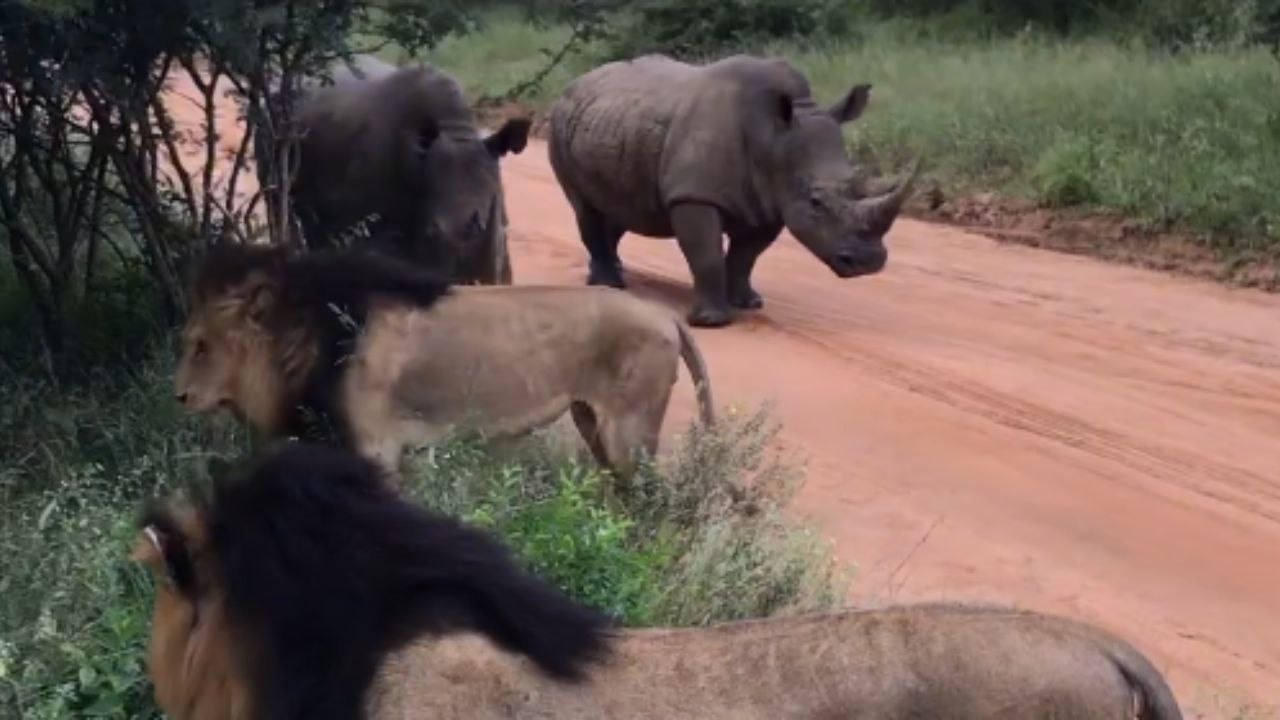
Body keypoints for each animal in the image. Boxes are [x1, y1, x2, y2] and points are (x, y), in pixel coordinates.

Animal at [172, 242, 715, 478]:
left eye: (200, 345)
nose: (178, 396)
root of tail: (665, 315)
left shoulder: (375, 448)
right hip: (591, 422)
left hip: (630, 432)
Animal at [547, 54, 918, 326]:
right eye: (815, 202)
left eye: (857, 184)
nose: (868, 263)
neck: (773, 138)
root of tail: (577, 81)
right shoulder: (694, 195)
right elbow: (707, 254)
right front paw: (712, 321)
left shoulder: (770, 201)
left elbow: (745, 257)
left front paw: (747, 303)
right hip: (560, 122)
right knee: (586, 209)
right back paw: (609, 284)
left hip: (612, 122)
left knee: (619, 208)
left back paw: (612, 272)